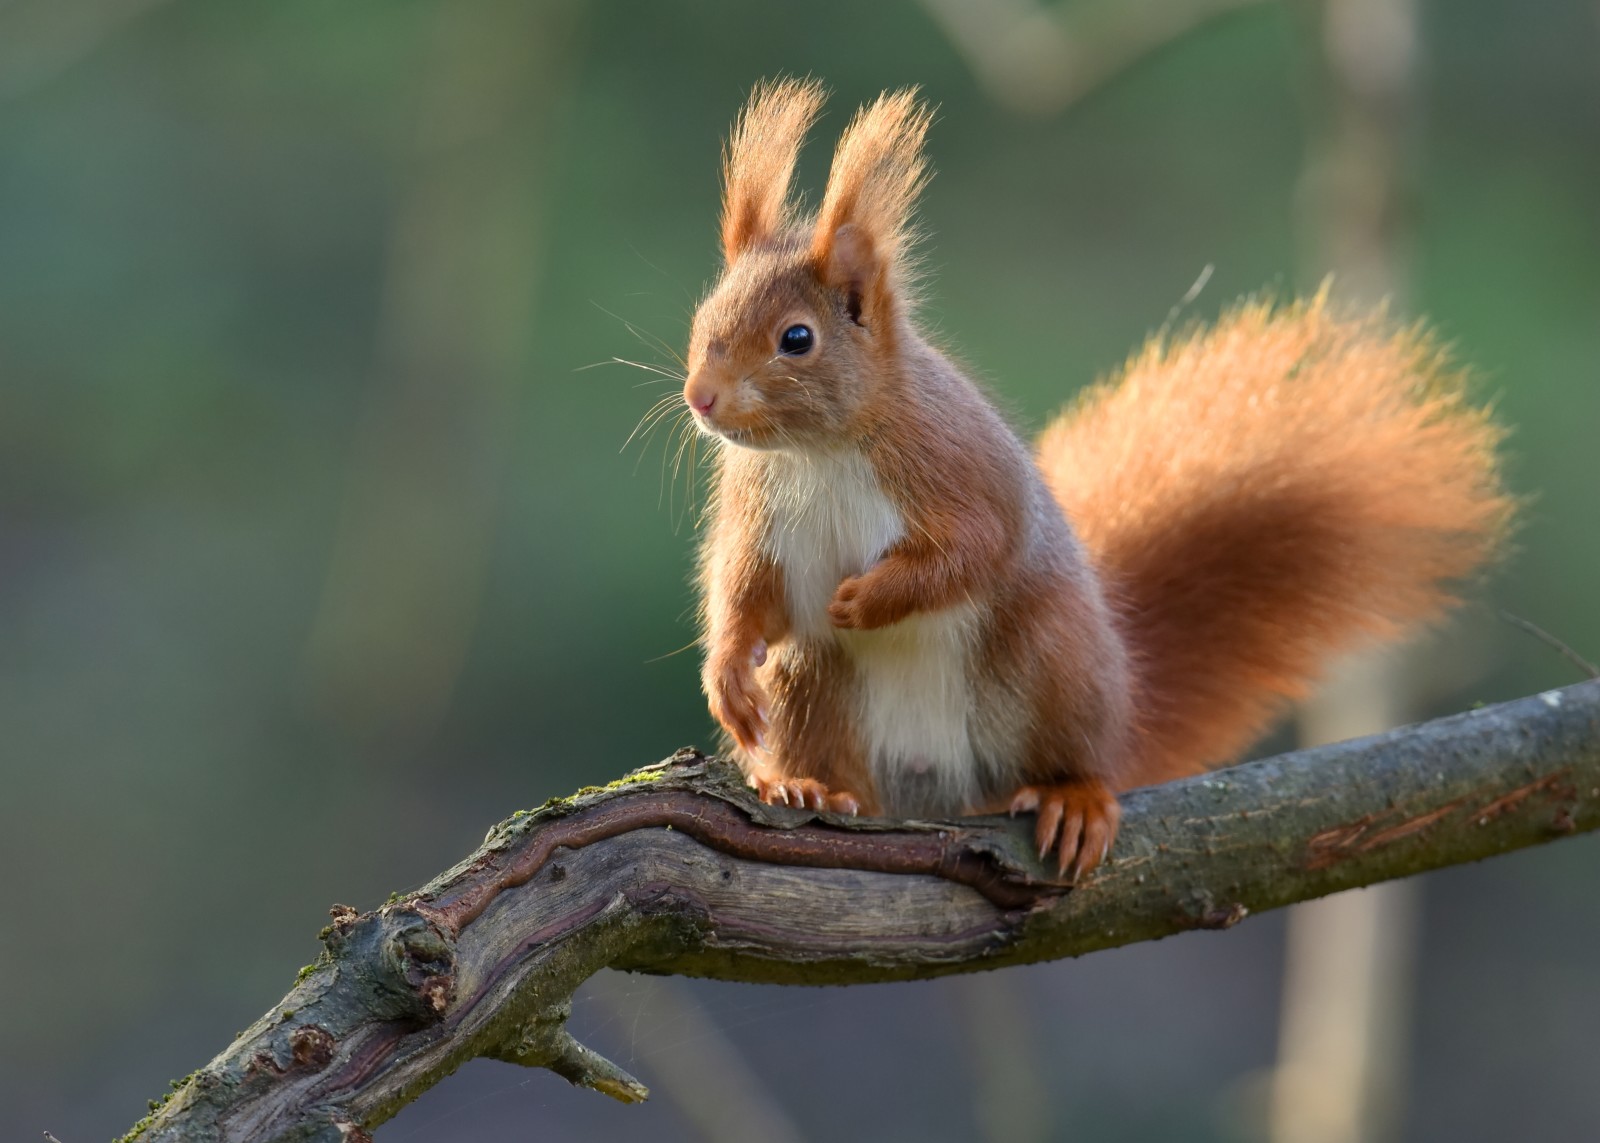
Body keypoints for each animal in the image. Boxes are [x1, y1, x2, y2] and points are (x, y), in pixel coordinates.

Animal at [675, 80, 1510, 877]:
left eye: (797, 339)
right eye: (704, 314)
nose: (700, 397)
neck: (817, 452)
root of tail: (940, 788)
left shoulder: (957, 466)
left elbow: (973, 549)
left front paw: (867, 598)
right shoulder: (755, 510)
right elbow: (743, 589)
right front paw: (727, 676)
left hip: (1052, 660)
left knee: (1072, 754)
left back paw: (1074, 796)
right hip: (812, 683)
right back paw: (805, 783)